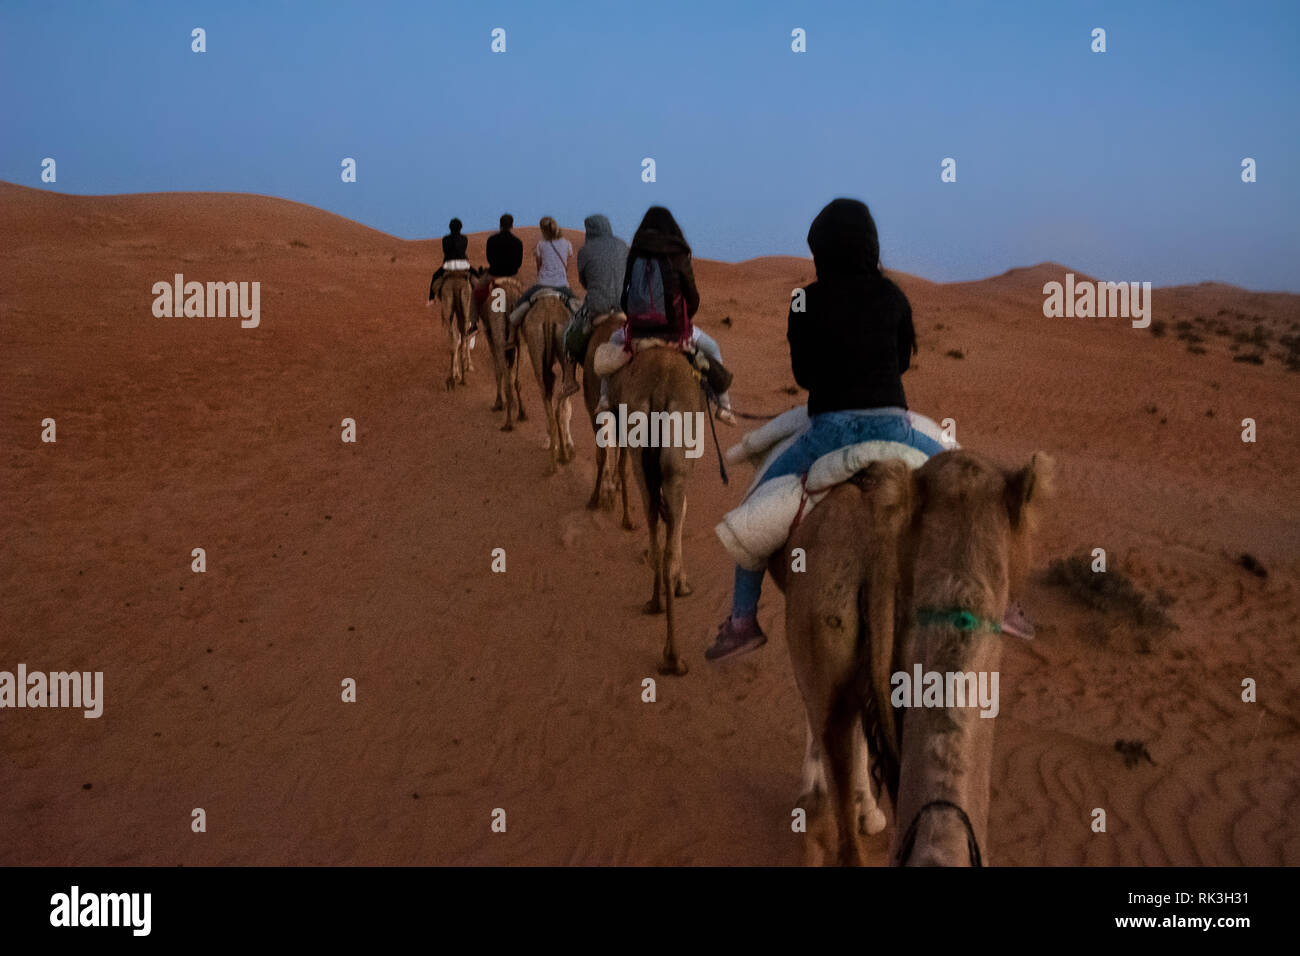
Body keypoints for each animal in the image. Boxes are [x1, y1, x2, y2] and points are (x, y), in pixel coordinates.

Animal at [475, 274, 525, 429]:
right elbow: (509, 372)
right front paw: (513, 405)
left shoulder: (492, 338)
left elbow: (498, 371)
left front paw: (498, 403)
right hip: (518, 343)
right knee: (516, 380)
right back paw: (521, 413)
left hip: (498, 338)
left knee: (507, 380)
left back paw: (508, 423)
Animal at [520, 291, 577, 470]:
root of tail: (548, 315)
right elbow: (567, 408)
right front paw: (568, 443)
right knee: (561, 400)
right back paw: (562, 454)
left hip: (536, 352)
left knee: (548, 398)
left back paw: (555, 456)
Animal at [605, 348, 702, 676]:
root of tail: (659, 391)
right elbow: (682, 513)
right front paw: (684, 584)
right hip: (676, 462)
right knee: (667, 542)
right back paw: (674, 657)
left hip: (642, 457)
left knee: (654, 529)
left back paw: (656, 606)